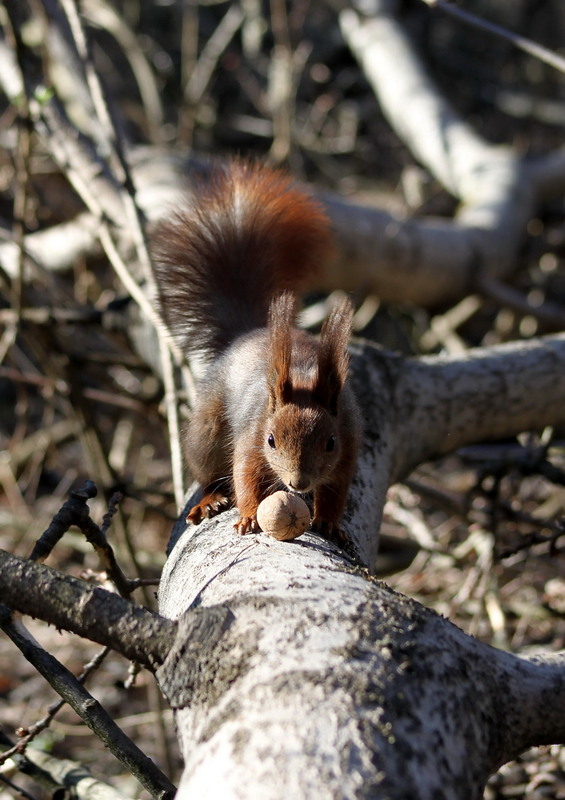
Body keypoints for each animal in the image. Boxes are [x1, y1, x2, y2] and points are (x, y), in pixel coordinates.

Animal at [152, 159, 360, 540]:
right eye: (271, 440)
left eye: (330, 443)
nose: (299, 483)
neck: (302, 376)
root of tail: (246, 334)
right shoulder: (251, 437)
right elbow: (245, 475)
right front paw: (248, 515)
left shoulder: (348, 446)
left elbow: (337, 490)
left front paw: (329, 521)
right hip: (206, 433)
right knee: (208, 474)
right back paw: (209, 500)